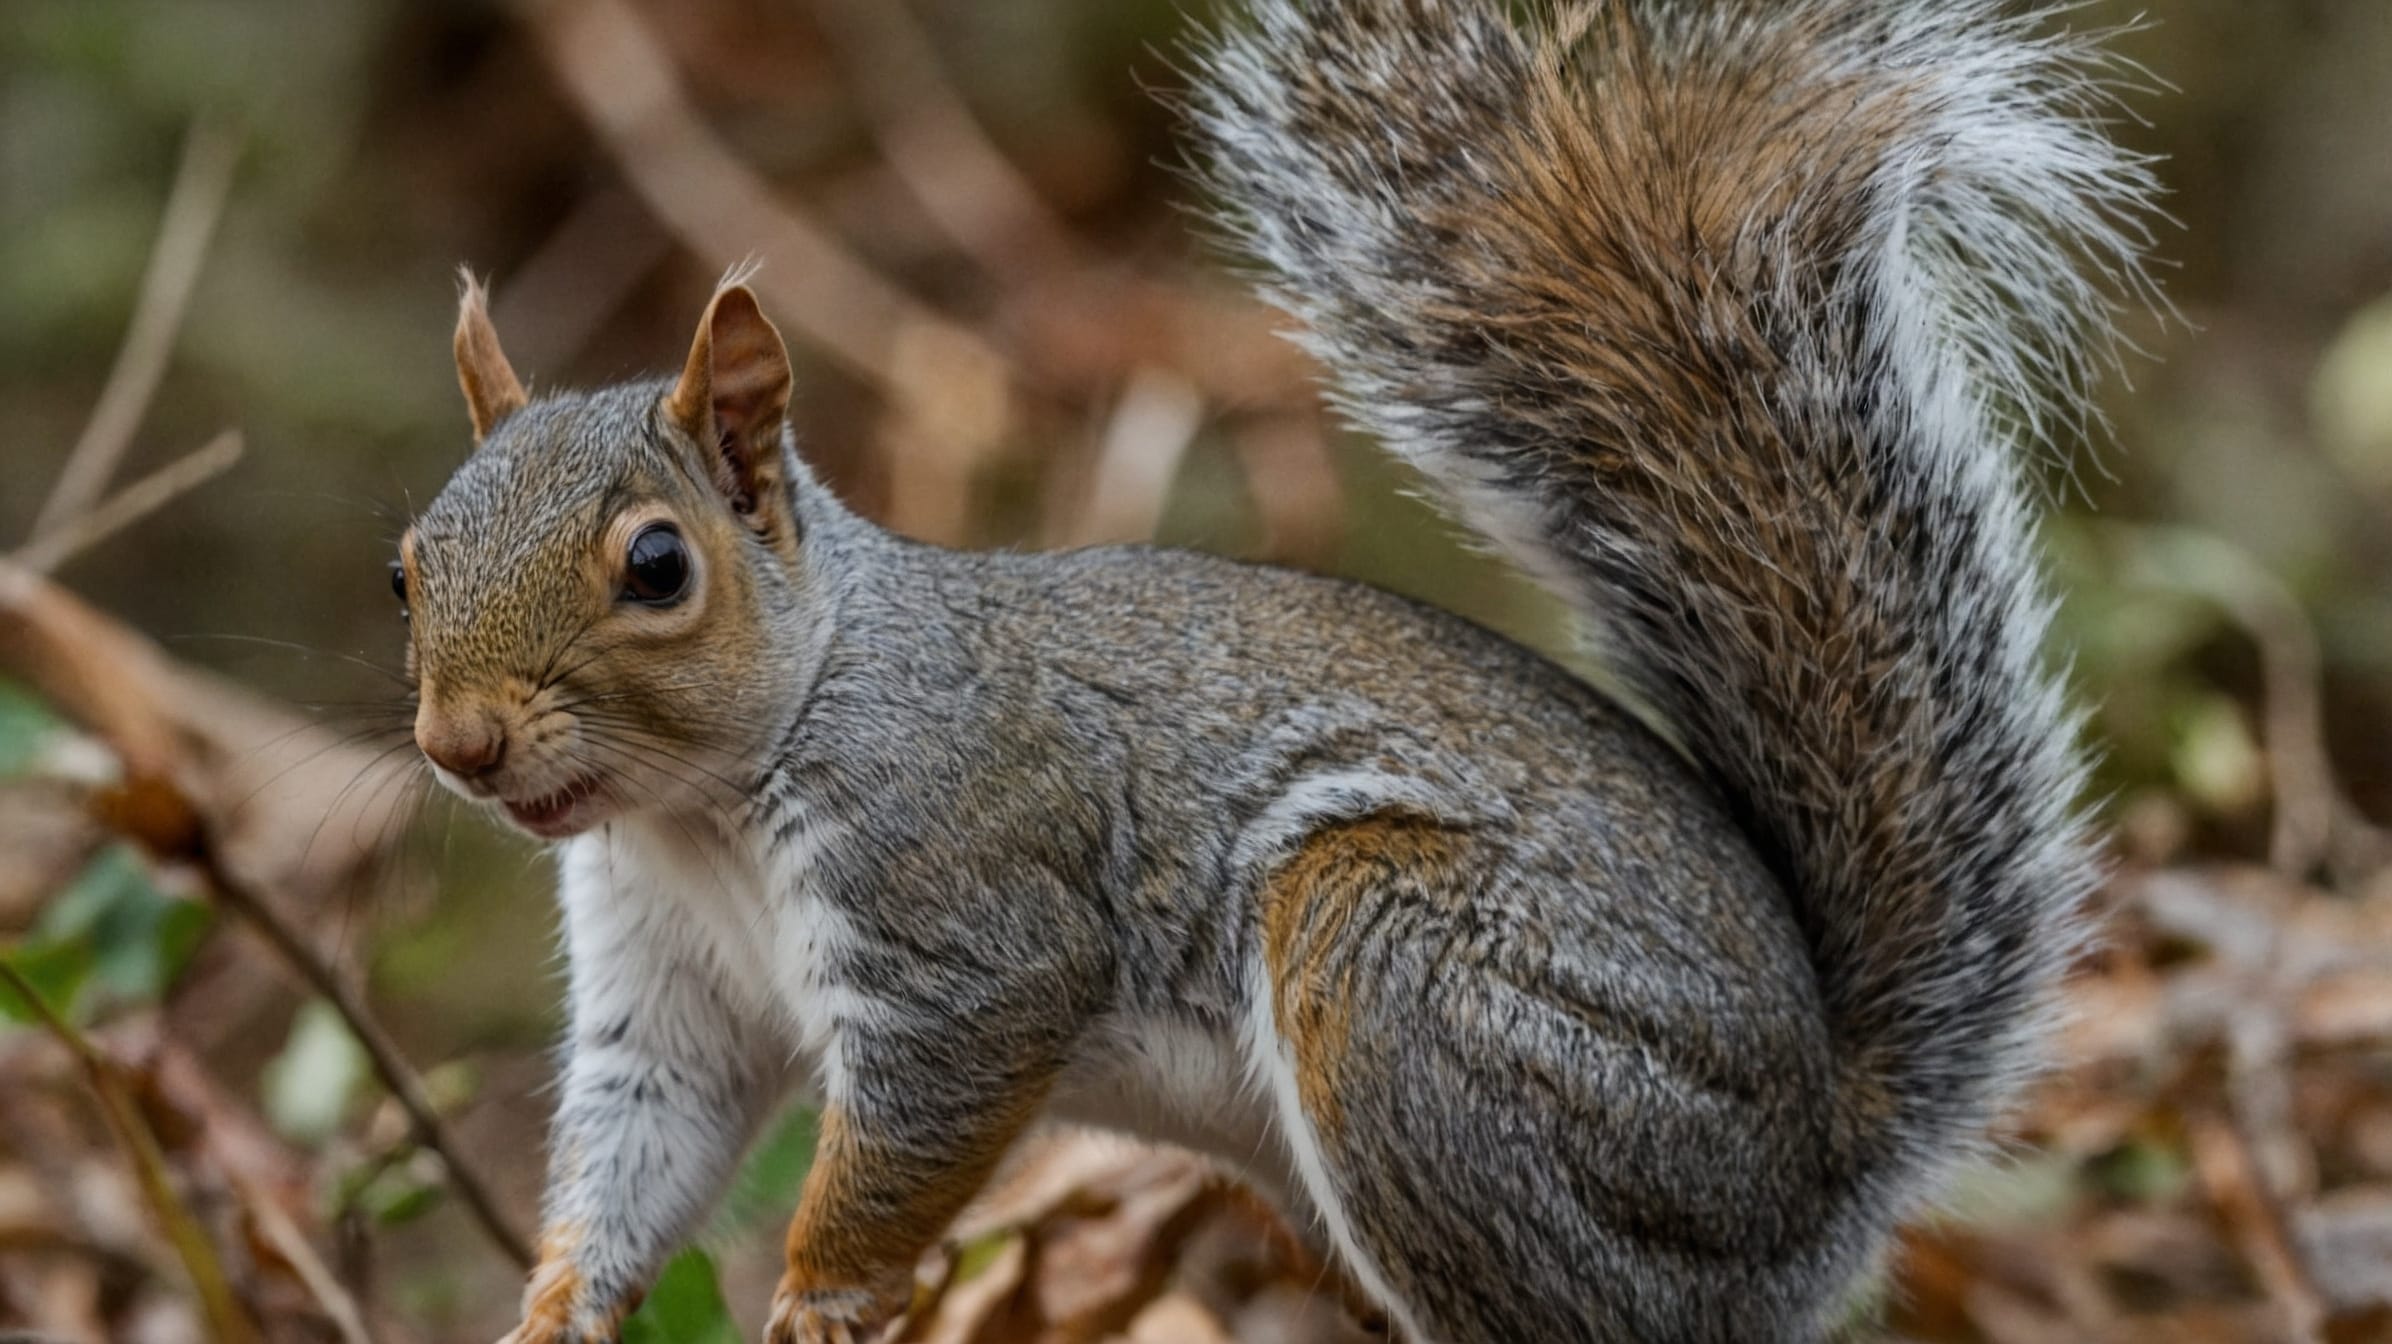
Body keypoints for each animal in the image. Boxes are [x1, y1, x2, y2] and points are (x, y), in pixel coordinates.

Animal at [399, 0, 2155, 1339]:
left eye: (657, 568)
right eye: (408, 564)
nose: (459, 746)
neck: (708, 806)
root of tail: (1816, 1168)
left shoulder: (966, 923)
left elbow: (899, 1151)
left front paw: (818, 1306)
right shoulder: (667, 1005)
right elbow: (632, 1171)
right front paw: (551, 1318)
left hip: (1420, 1002)